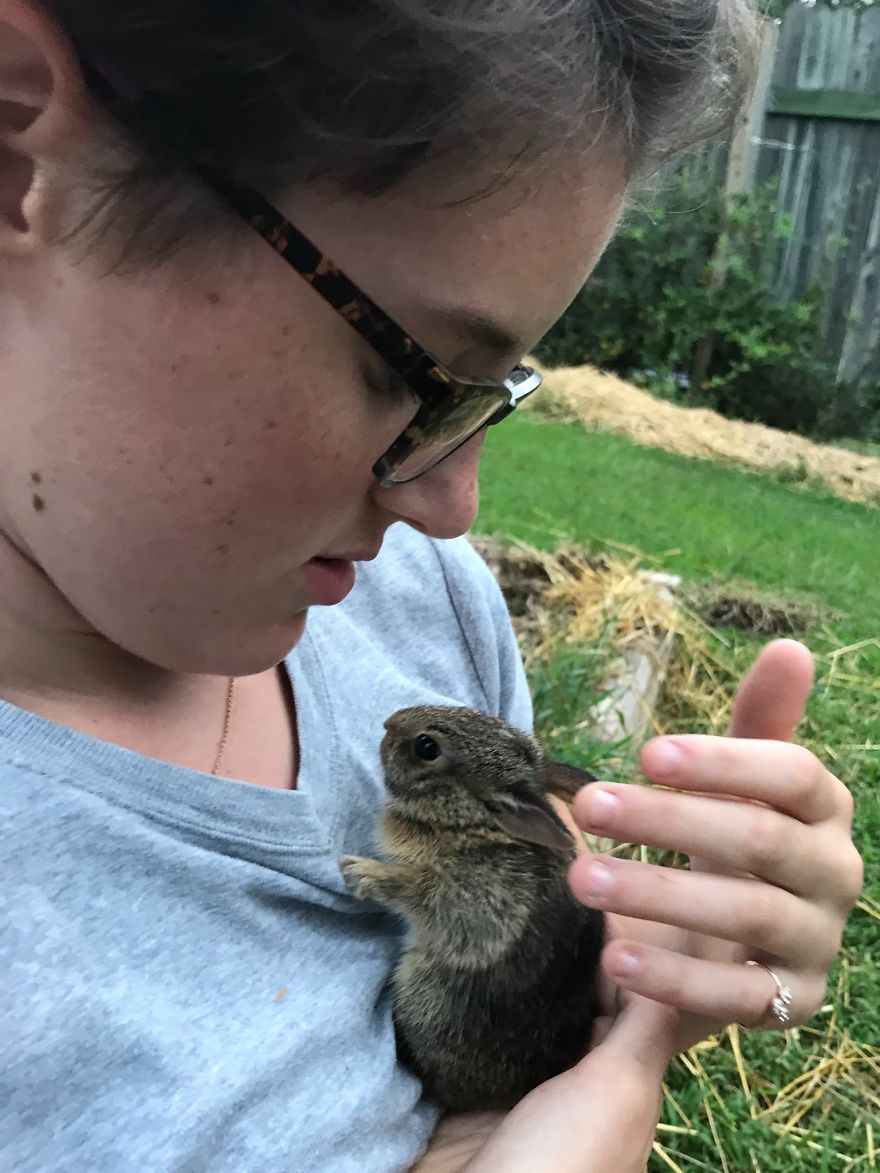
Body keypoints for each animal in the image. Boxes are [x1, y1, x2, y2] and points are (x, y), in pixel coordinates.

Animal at [340, 704, 606, 1113]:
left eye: (427, 747)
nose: (390, 721)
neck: (469, 820)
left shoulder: (470, 895)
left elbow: (417, 889)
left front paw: (359, 872)